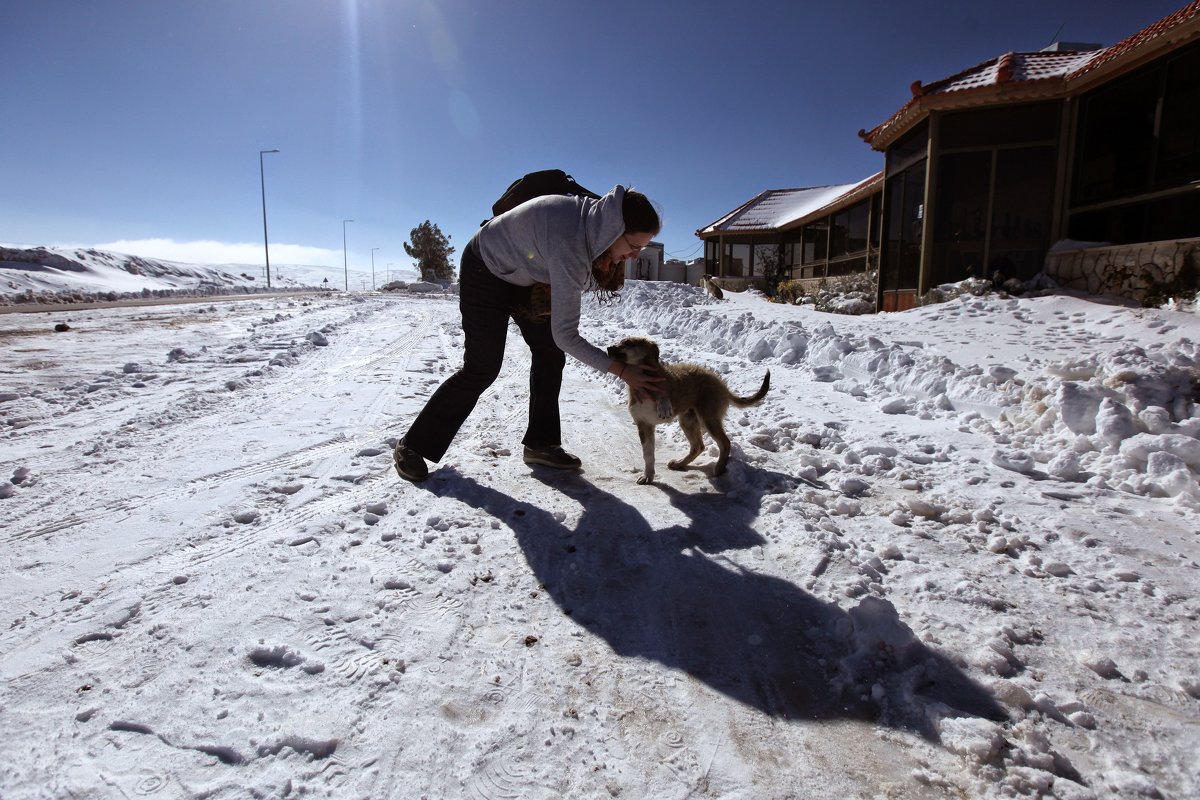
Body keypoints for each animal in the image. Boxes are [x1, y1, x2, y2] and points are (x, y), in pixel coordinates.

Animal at [604, 335, 772, 484]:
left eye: (628, 343)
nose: (608, 348)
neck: (643, 382)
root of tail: (722, 385)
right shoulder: (644, 425)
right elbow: (648, 455)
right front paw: (648, 476)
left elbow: (664, 393)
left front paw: (663, 402)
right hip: (688, 420)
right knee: (698, 446)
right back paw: (680, 463)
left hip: (708, 417)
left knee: (725, 442)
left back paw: (719, 468)